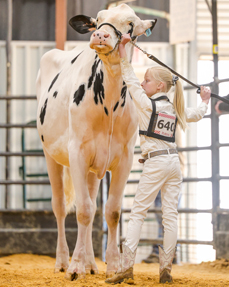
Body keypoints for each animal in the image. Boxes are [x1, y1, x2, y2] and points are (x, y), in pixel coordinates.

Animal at [36, 2, 156, 282]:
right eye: (98, 20)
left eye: (130, 24)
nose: (100, 35)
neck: (109, 99)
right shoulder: (77, 154)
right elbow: (82, 210)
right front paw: (75, 266)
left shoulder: (124, 159)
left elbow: (110, 212)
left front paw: (112, 266)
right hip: (51, 155)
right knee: (61, 207)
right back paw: (63, 261)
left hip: (93, 168)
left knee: (91, 207)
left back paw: (91, 263)